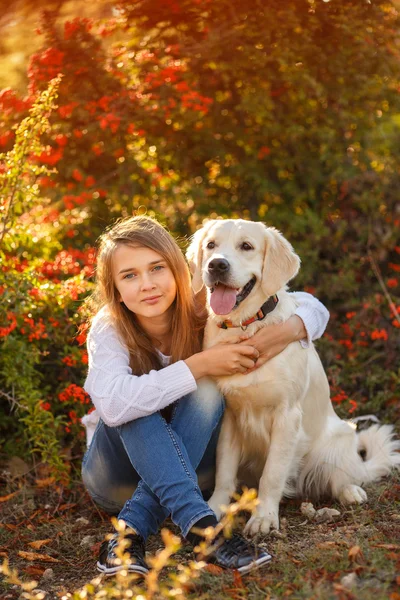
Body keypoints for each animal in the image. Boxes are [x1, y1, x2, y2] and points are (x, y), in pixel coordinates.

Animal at [188, 219, 400, 536]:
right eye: (211, 245)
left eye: (246, 246)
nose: (217, 265)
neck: (247, 327)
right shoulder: (231, 417)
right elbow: (225, 471)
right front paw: (215, 508)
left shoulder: (287, 416)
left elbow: (273, 474)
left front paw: (263, 517)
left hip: (338, 439)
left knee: (343, 475)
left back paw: (351, 491)